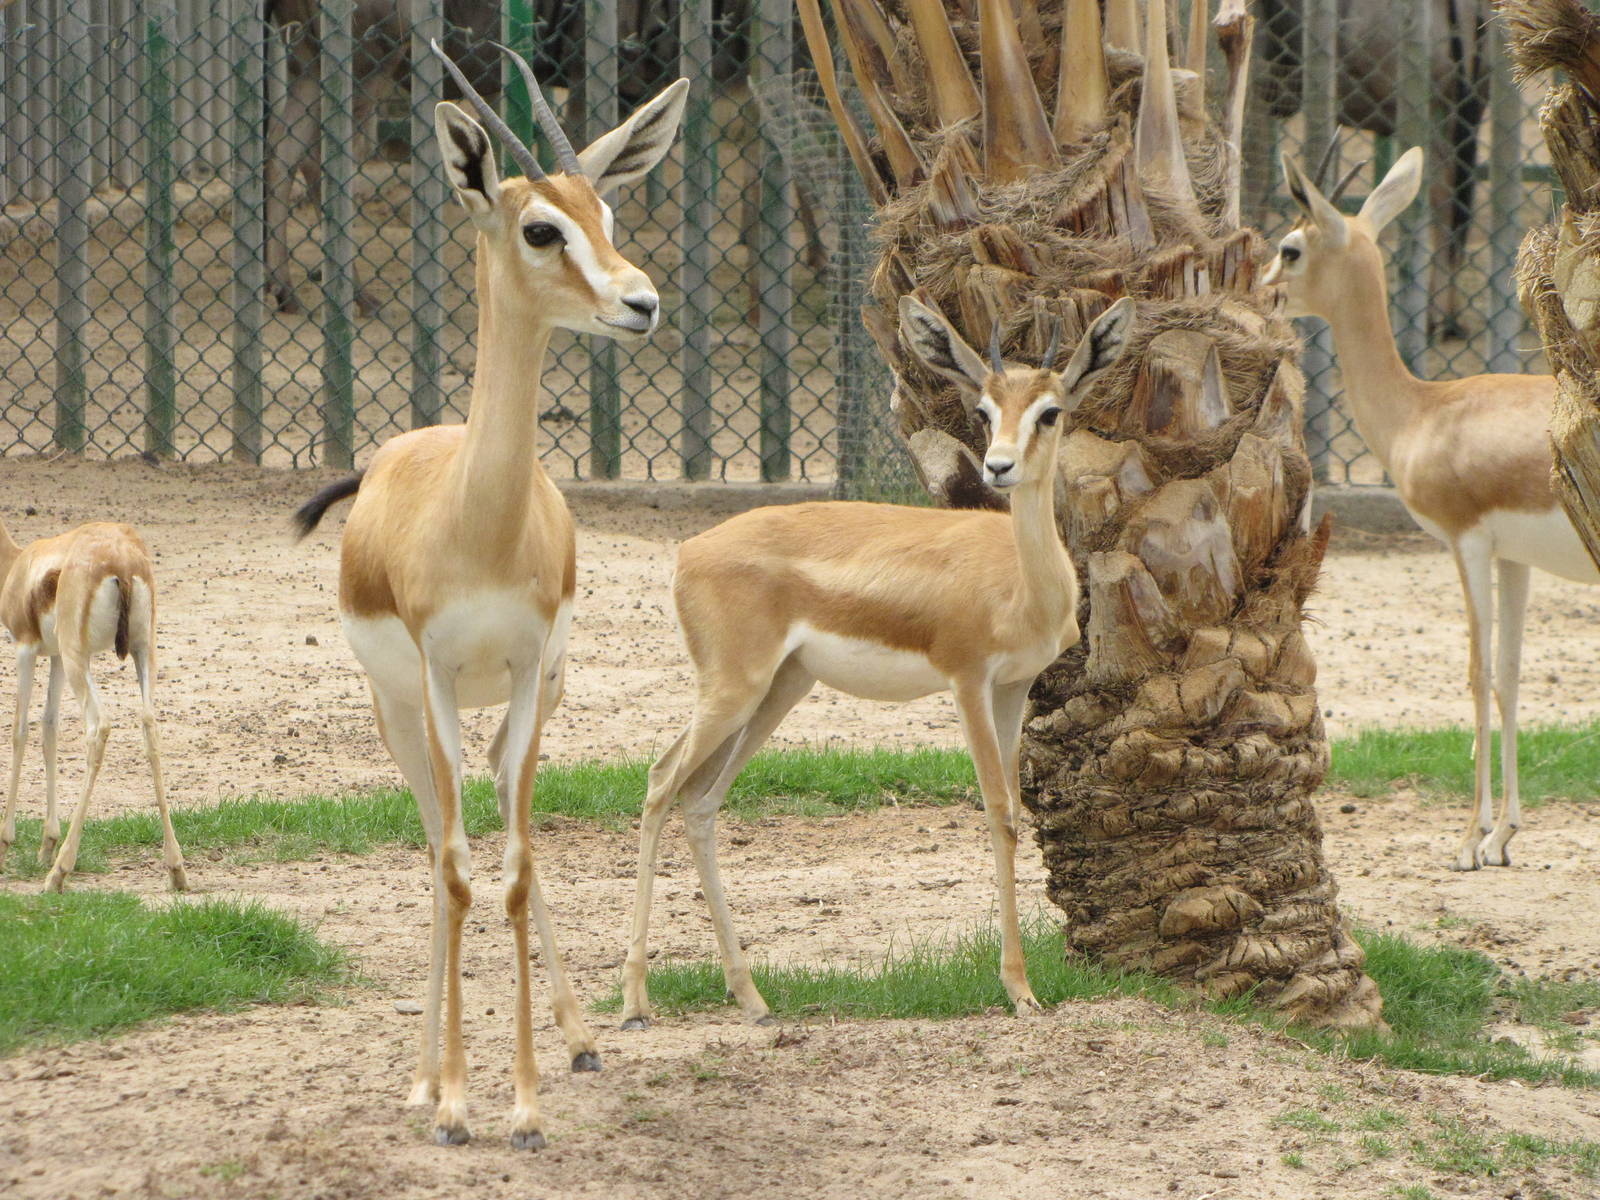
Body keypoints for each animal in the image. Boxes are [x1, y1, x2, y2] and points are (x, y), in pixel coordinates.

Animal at [0, 518, 186, 894]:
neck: (16, 564)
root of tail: (122, 562)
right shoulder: (54, 656)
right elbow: (49, 729)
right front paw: (46, 844)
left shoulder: (25, 649)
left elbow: (19, 732)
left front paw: (6, 845)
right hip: (142, 651)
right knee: (150, 724)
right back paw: (176, 869)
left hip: (79, 657)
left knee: (99, 725)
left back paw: (58, 874)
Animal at [292, 43, 687, 1149]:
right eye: (540, 226)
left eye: (608, 209)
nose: (641, 303)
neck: (475, 519)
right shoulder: (431, 681)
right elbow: (460, 868)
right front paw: (457, 1101)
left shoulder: (522, 671)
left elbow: (511, 868)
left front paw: (525, 1100)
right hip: (397, 716)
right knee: (436, 846)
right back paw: (422, 1081)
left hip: (534, 700)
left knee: (510, 842)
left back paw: (577, 1037)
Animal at [619, 295, 1136, 1029]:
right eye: (984, 410)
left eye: (1049, 411)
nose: (999, 467)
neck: (1020, 581)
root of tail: (690, 551)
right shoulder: (967, 681)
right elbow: (995, 810)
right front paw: (1019, 988)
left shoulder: (1014, 686)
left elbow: (1013, 814)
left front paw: (1023, 985)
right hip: (734, 689)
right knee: (662, 783)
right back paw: (636, 1001)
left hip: (780, 689)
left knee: (700, 800)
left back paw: (751, 997)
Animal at [1265, 147, 1598, 871]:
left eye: (1290, 247)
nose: (1260, 287)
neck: (1423, 412)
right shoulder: (1513, 559)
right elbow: (1509, 675)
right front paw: (1503, 835)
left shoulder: (1464, 541)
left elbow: (1476, 673)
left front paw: (1468, 839)